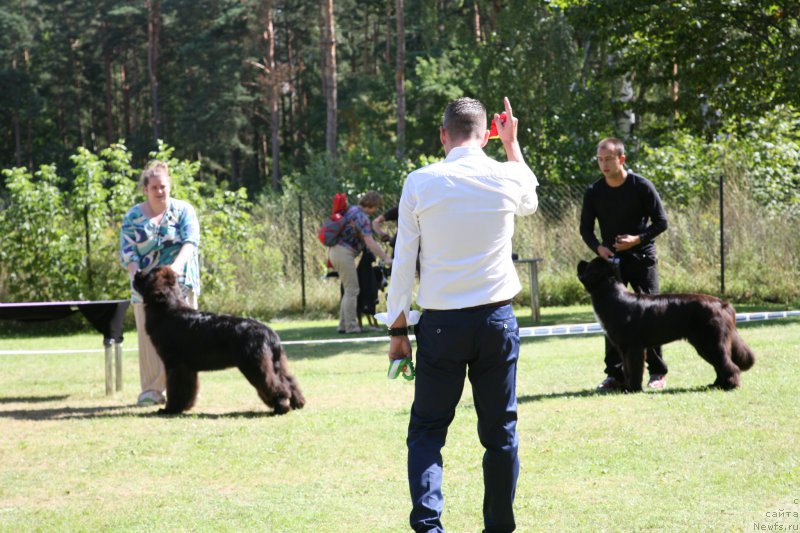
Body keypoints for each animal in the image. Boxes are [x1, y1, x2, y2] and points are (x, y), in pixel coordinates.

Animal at [133, 268, 304, 414]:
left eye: (147, 274)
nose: (137, 271)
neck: (168, 311)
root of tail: (270, 333)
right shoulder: (188, 368)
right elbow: (188, 389)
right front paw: (185, 407)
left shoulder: (176, 365)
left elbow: (176, 389)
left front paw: (171, 409)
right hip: (276, 362)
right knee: (289, 380)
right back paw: (298, 403)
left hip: (256, 365)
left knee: (275, 385)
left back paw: (281, 407)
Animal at [576, 258, 756, 390]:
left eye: (589, 264)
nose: (581, 261)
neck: (611, 296)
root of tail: (725, 305)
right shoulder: (624, 347)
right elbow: (626, 368)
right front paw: (626, 386)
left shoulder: (633, 346)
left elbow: (633, 368)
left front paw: (632, 388)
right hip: (707, 344)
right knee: (720, 364)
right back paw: (716, 384)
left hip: (710, 342)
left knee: (728, 364)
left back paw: (730, 385)